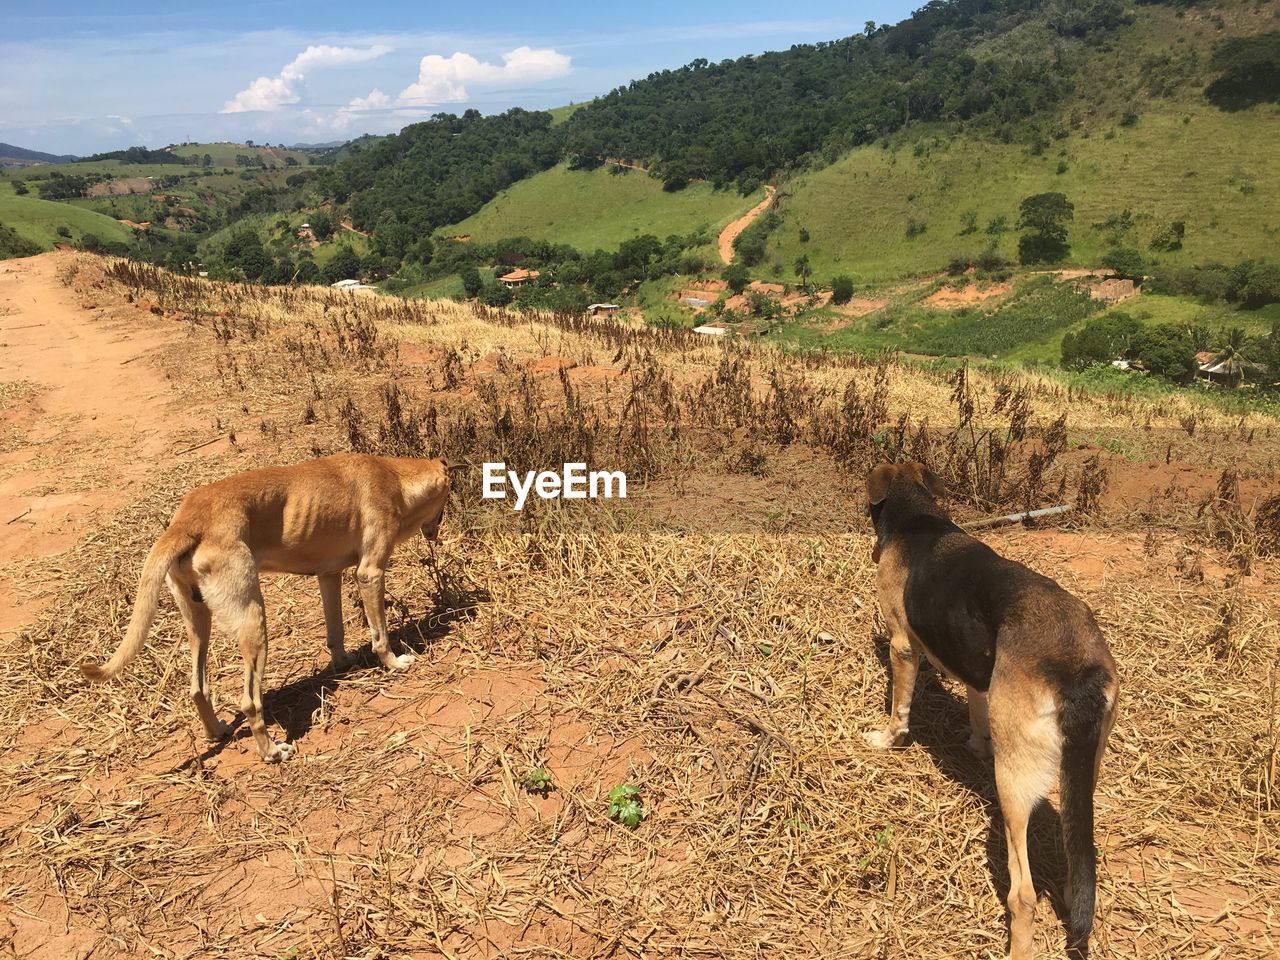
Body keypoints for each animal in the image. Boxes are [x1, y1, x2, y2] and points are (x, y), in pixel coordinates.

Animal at [81, 455, 460, 762]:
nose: (436, 532)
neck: (394, 475)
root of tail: (186, 522)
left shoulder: (329, 576)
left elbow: (335, 631)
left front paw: (341, 661)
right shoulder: (370, 574)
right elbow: (380, 635)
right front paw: (393, 663)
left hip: (198, 622)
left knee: (198, 688)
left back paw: (217, 731)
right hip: (253, 621)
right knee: (250, 701)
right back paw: (272, 752)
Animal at [860, 463, 1121, 957]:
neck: (918, 517)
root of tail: (1075, 669)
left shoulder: (904, 647)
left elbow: (900, 711)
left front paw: (886, 740)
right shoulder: (980, 676)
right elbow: (978, 712)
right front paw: (975, 745)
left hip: (1013, 784)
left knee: (1023, 894)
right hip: (1082, 773)